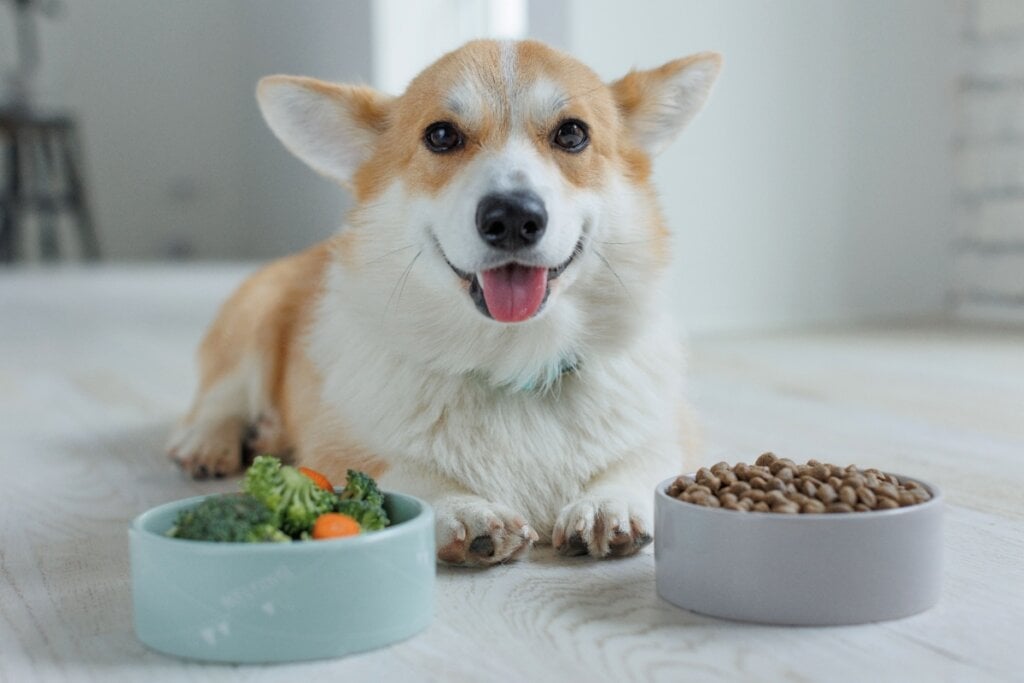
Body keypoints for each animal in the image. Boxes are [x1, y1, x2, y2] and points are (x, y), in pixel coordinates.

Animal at [169, 40, 720, 569]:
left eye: (572, 134)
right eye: (441, 136)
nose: (513, 217)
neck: (513, 363)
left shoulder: (672, 430)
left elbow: (642, 459)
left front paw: (608, 502)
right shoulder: (336, 445)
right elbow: (402, 474)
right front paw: (463, 510)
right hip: (254, 315)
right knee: (221, 396)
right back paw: (210, 442)